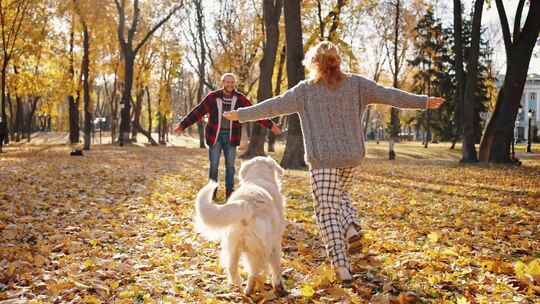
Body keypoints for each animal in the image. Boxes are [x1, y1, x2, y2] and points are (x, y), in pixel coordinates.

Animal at [193, 157, 286, 294]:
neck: (258, 178)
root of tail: (247, 204)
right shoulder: (275, 242)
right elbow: (276, 265)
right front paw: (278, 284)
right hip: (259, 249)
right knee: (254, 272)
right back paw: (249, 289)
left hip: (232, 245)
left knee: (231, 267)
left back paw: (238, 284)